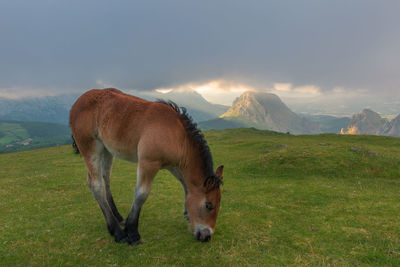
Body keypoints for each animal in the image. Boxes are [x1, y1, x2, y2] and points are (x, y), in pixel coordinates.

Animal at [70, 89, 223, 246]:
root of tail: (78, 101)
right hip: (90, 147)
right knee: (96, 185)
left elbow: (186, 187)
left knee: (105, 180)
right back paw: (117, 231)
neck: (178, 135)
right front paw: (132, 231)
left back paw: (117, 216)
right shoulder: (149, 162)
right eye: (208, 205)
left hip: (107, 150)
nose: (207, 236)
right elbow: (141, 194)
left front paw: (187, 213)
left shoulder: (173, 165)